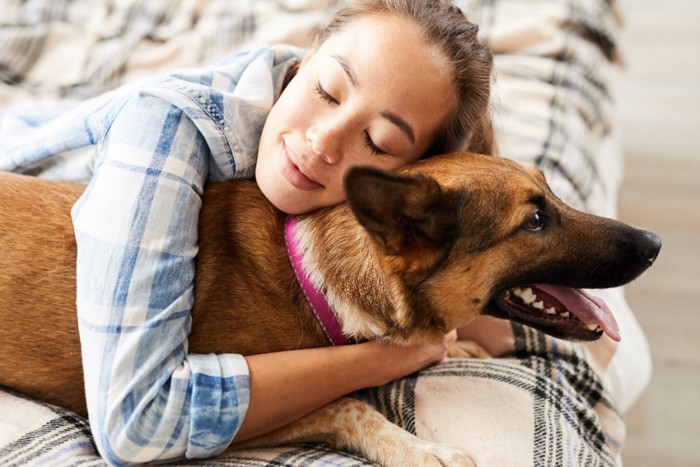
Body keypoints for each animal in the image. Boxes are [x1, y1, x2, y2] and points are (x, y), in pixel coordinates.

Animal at [0, 152, 660, 466]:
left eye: (550, 196)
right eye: (536, 221)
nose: (654, 243)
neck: (318, 278)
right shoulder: (225, 413)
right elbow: (348, 405)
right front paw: (421, 450)